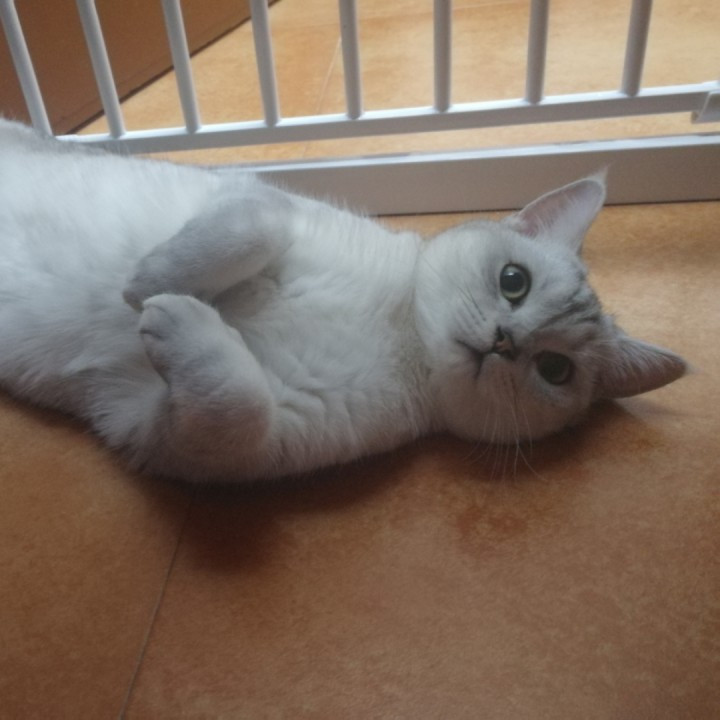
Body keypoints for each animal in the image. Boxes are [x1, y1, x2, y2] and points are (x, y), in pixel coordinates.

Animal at [0, 118, 686, 482]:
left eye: (554, 370)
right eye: (513, 281)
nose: (504, 342)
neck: (397, 330)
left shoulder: (185, 436)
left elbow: (237, 402)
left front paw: (169, 311)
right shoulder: (257, 199)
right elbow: (256, 225)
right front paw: (148, 281)